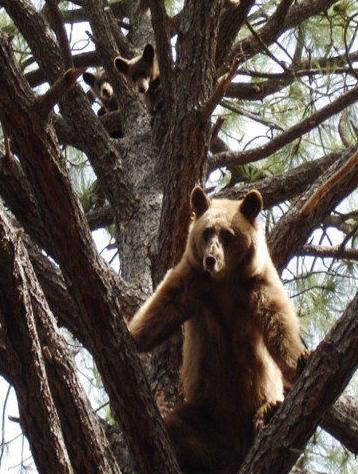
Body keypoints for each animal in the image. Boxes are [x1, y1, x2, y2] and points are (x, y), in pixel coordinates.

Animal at [130, 187, 306, 472]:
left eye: (228, 234)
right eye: (206, 232)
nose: (211, 259)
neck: (224, 281)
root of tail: (232, 455)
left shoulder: (256, 284)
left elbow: (278, 323)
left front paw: (301, 358)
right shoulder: (193, 280)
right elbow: (162, 306)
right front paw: (132, 334)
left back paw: (268, 413)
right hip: (202, 413)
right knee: (176, 428)